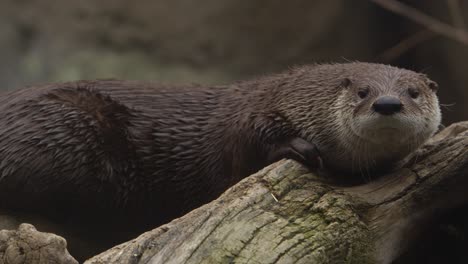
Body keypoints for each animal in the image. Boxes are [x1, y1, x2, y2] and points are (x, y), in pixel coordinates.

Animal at [0, 62, 440, 260]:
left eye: (414, 92)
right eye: (363, 91)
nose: (388, 103)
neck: (292, 97)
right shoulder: (251, 117)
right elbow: (247, 144)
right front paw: (298, 147)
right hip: (62, 127)